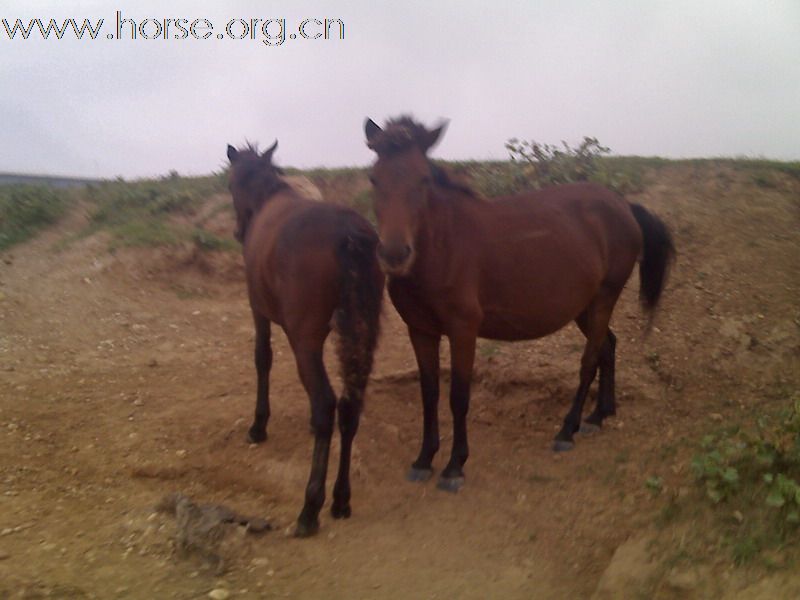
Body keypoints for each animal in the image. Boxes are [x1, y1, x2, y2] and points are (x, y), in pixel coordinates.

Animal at [227, 142, 386, 540]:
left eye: (229, 184)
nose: (238, 231)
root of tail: (349, 234)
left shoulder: (259, 311)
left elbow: (262, 358)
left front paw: (258, 426)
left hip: (306, 341)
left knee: (326, 404)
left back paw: (310, 507)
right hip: (362, 335)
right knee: (349, 406)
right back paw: (341, 499)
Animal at [364, 116, 676, 492]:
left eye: (423, 178)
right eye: (374, 178)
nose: (395, 255)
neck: (442, 246)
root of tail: (622, 205)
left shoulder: (463, 331)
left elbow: (458, 396)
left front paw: (454, 466)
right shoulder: (420, 331)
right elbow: (429, 394)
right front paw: (424, 459)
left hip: (604, 297)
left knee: (589, 361)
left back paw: (567, 430)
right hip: (584, 306)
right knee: (607, 347)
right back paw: (599, 415)